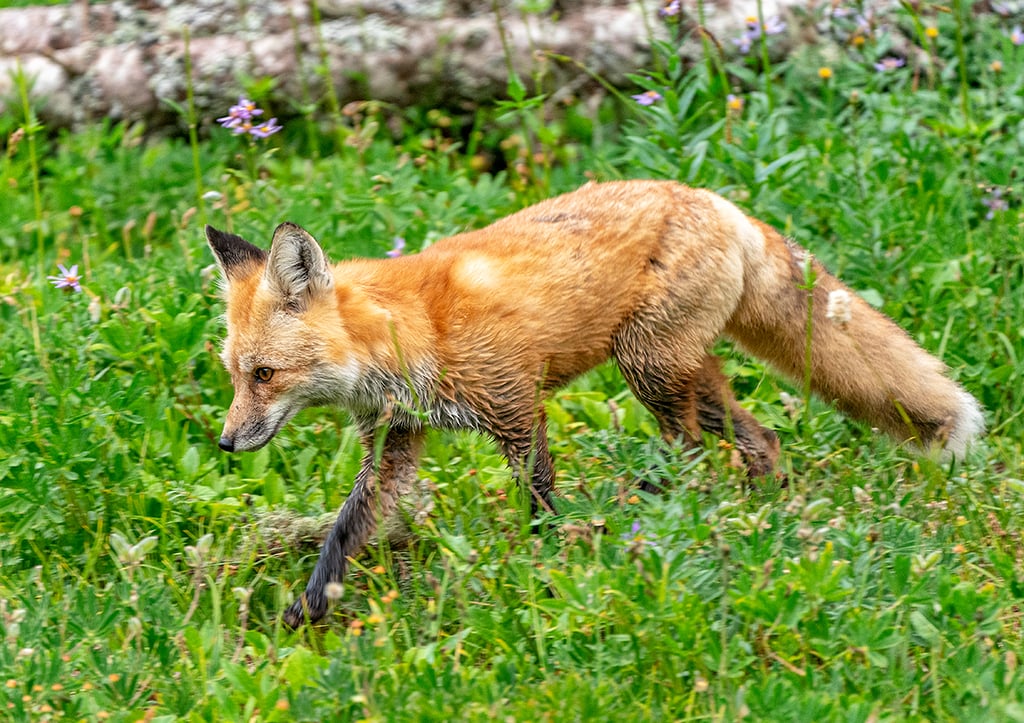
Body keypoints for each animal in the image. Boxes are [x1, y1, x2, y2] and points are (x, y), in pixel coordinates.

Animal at [205, 179, 983, 627]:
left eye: (265, 374)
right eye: (235, 376)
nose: (226, 442)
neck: (413, 331)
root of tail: (718, 200)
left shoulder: (516, 407)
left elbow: (540, 498)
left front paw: (550, 565)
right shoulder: (396, 443)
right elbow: (343, 530)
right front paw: (306, 610)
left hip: (648, 368)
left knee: (690, 453)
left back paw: (649, 506)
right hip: (681, 370)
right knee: (759, 440)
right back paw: (761, 510)